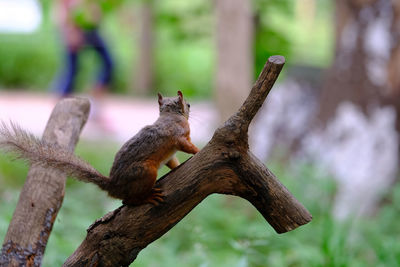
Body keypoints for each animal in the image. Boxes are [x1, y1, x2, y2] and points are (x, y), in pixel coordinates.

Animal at [0, 91, 200, 206]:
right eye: (189, 104)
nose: (191, 107)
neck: (170, 115)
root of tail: (113, 186)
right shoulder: (178, 137)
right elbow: (186, 146)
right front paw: (198, 152)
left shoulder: (170, 153)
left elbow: (172, 161)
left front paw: (178, 166)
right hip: (146, 171)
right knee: (129, 200)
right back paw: (146, 198)